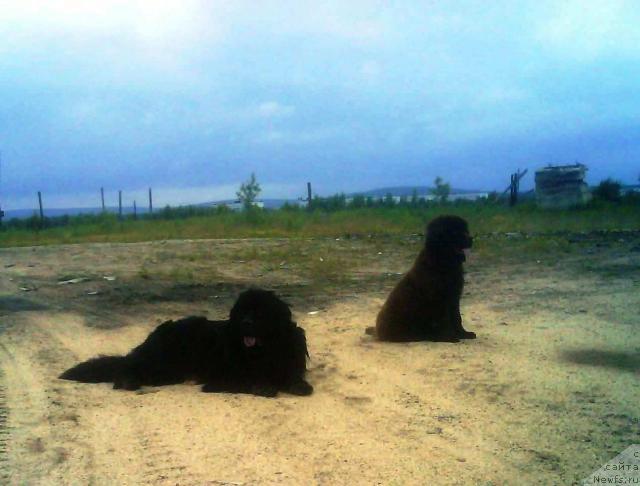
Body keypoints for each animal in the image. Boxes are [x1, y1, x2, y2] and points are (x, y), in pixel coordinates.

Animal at [58, 288, 314, 394]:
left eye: (260, 312)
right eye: (243, 312)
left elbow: (293, 378)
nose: (246, 323)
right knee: (128, 367)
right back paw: (127, 381)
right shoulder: (222, 378)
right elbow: (250, 380)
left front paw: (297, 385)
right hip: (162, 359)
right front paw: (264, 386)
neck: (264, 349)